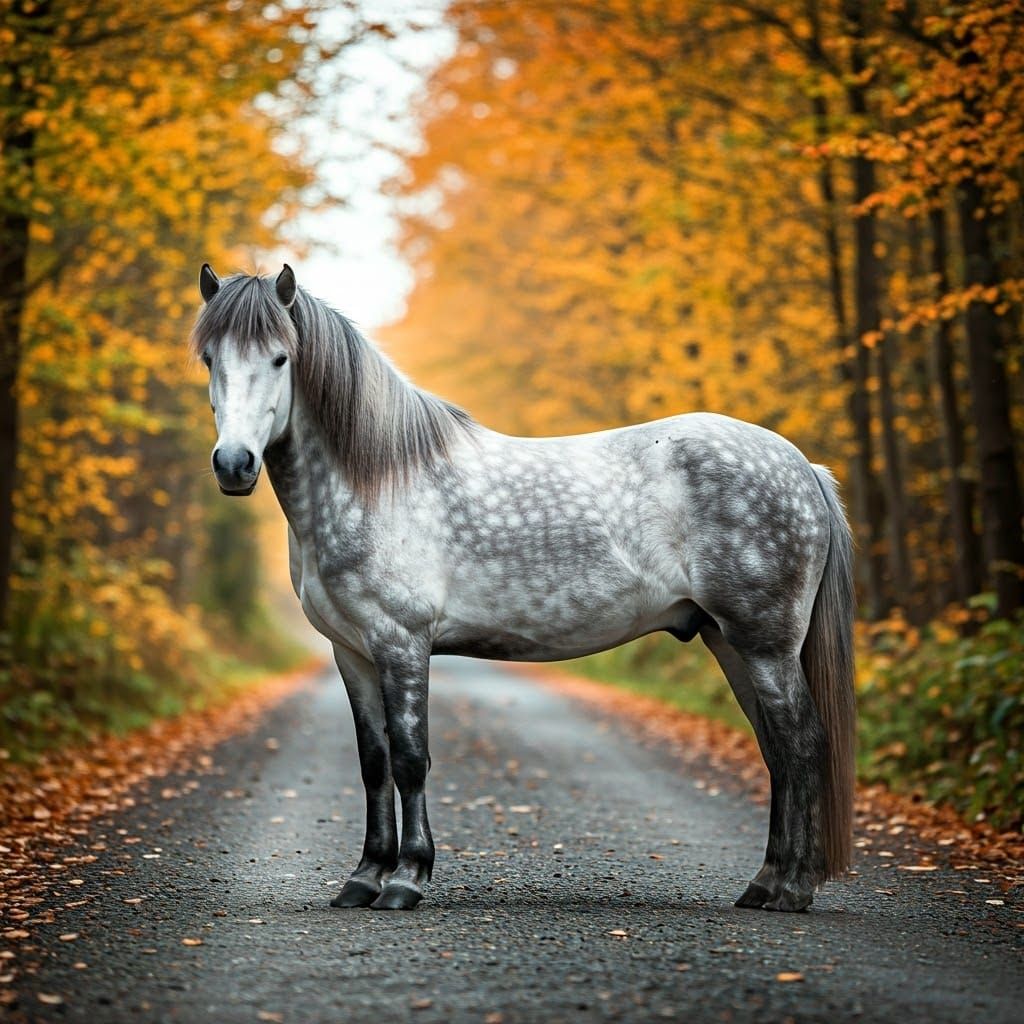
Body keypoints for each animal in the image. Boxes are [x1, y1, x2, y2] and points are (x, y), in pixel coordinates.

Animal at [192, 263, 856, 913]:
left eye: (281, 358)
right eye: (208, 359)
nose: (234, 464)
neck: (377, 479)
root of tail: (803, 467)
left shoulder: (401, 642)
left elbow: (410, 757)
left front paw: (406, 878)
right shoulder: (351, 650)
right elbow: (374, 762)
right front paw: (363, 877)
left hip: (765, 646)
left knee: (801, 742)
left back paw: (792, 890)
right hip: (730, 641)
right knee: (775, 749)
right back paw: (764, 884)